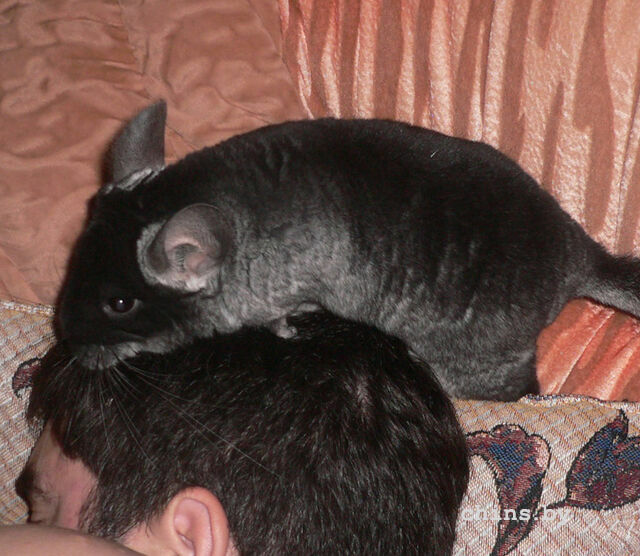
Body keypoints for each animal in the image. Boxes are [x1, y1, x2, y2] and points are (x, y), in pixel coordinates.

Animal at [58, 101, 640, 400]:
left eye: (118, 304)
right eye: (74, 259)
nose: (66, 342)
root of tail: (578, 258)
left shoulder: (273, 296)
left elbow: (278, 320)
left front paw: (290, 331)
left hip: (473, 358)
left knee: (522, 388)